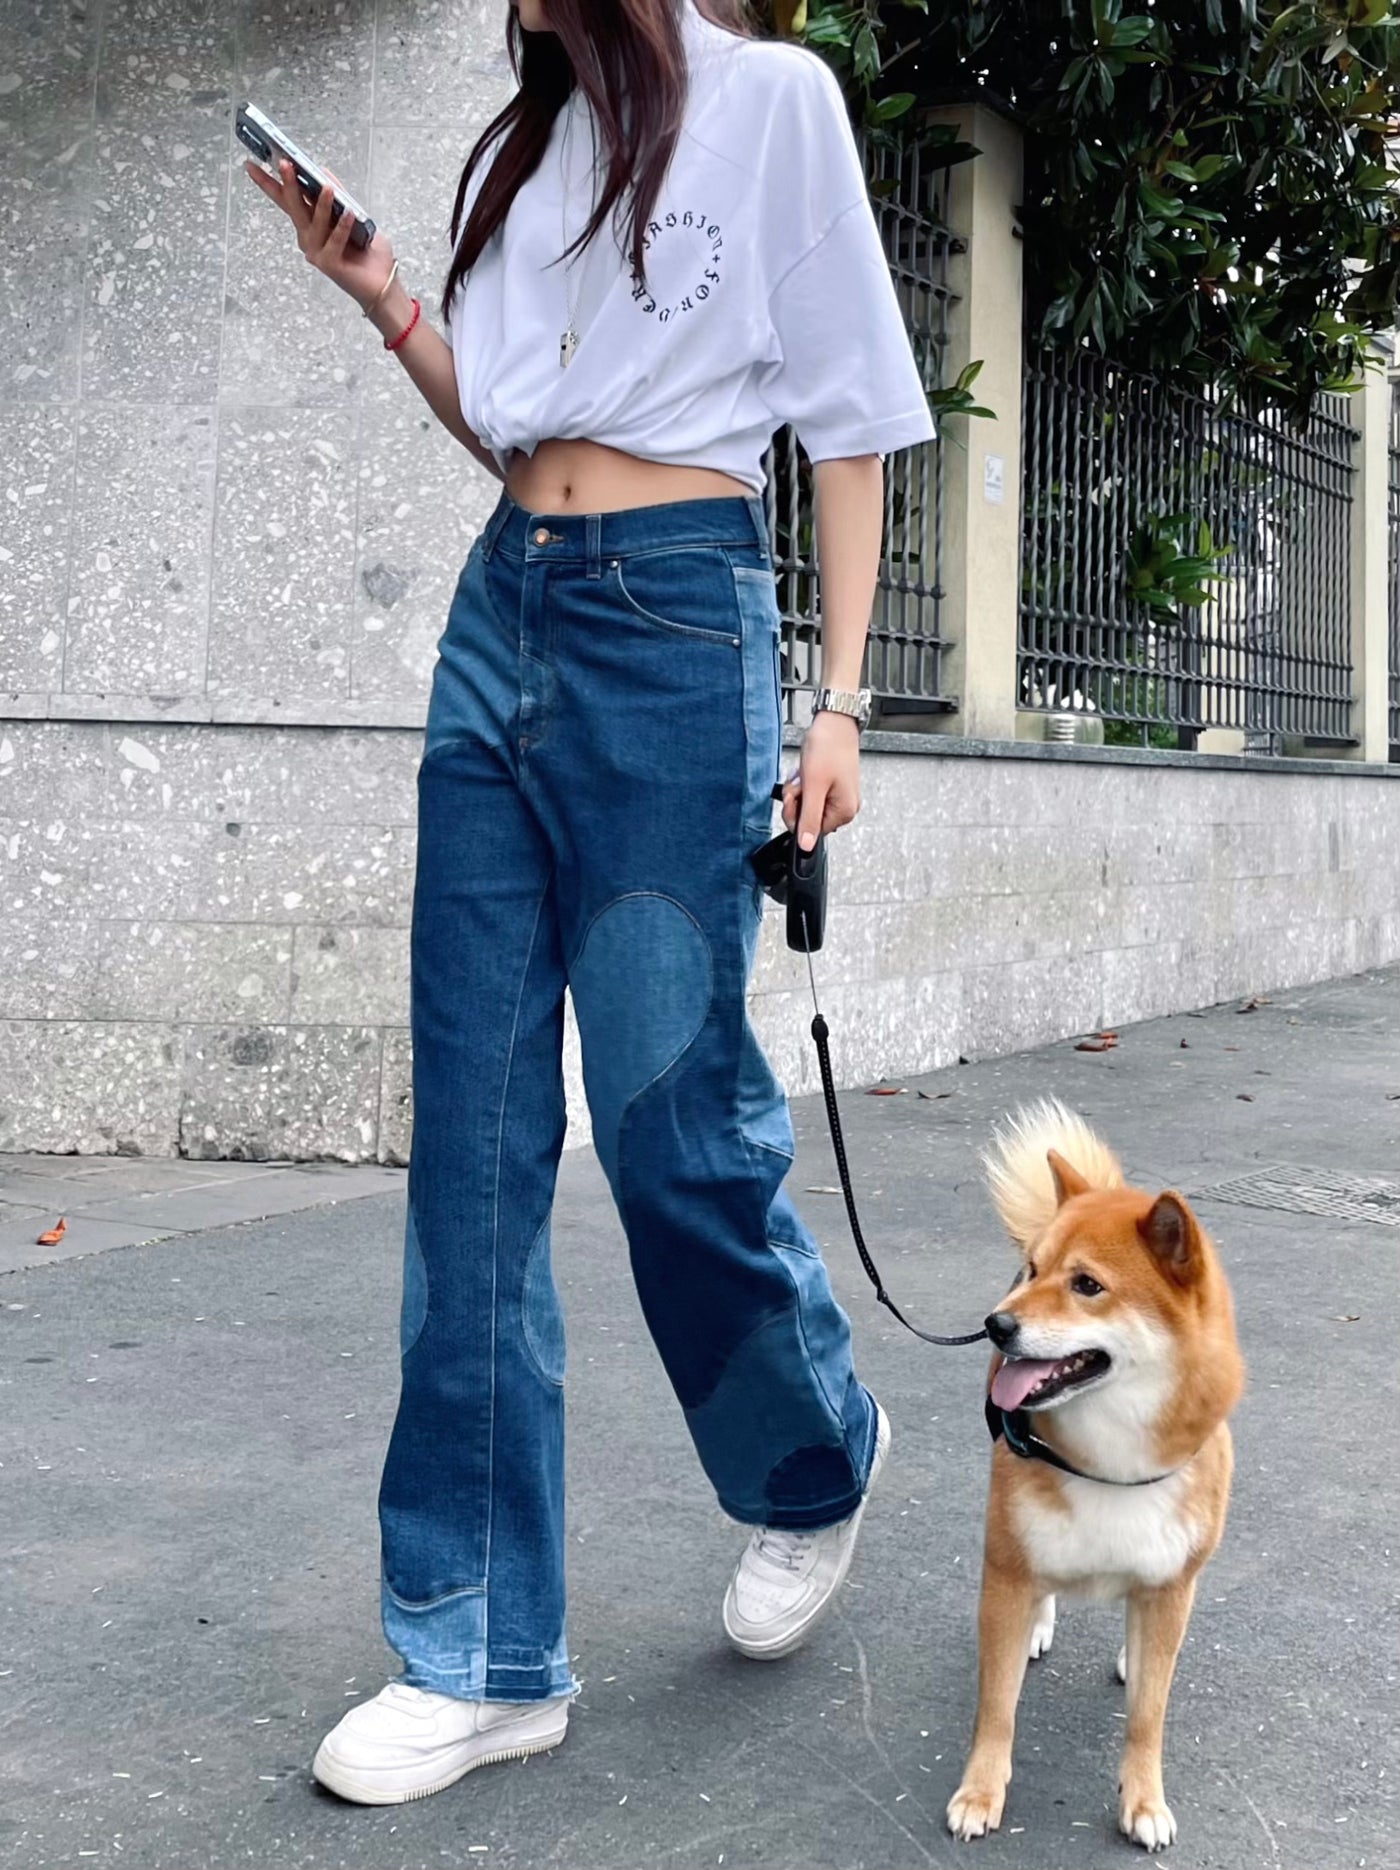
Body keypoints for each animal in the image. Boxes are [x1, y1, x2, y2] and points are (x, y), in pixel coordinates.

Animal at [945, 1099, 1241, 1847]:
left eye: (1087, 1286)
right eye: (1033, 1269)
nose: (996, 1324)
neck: (1111, 1464)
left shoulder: (1170, 1584)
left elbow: (1148, 1716)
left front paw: (1144, 1800)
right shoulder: (1007, 1566)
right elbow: (997, 1709)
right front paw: (980, 1792)